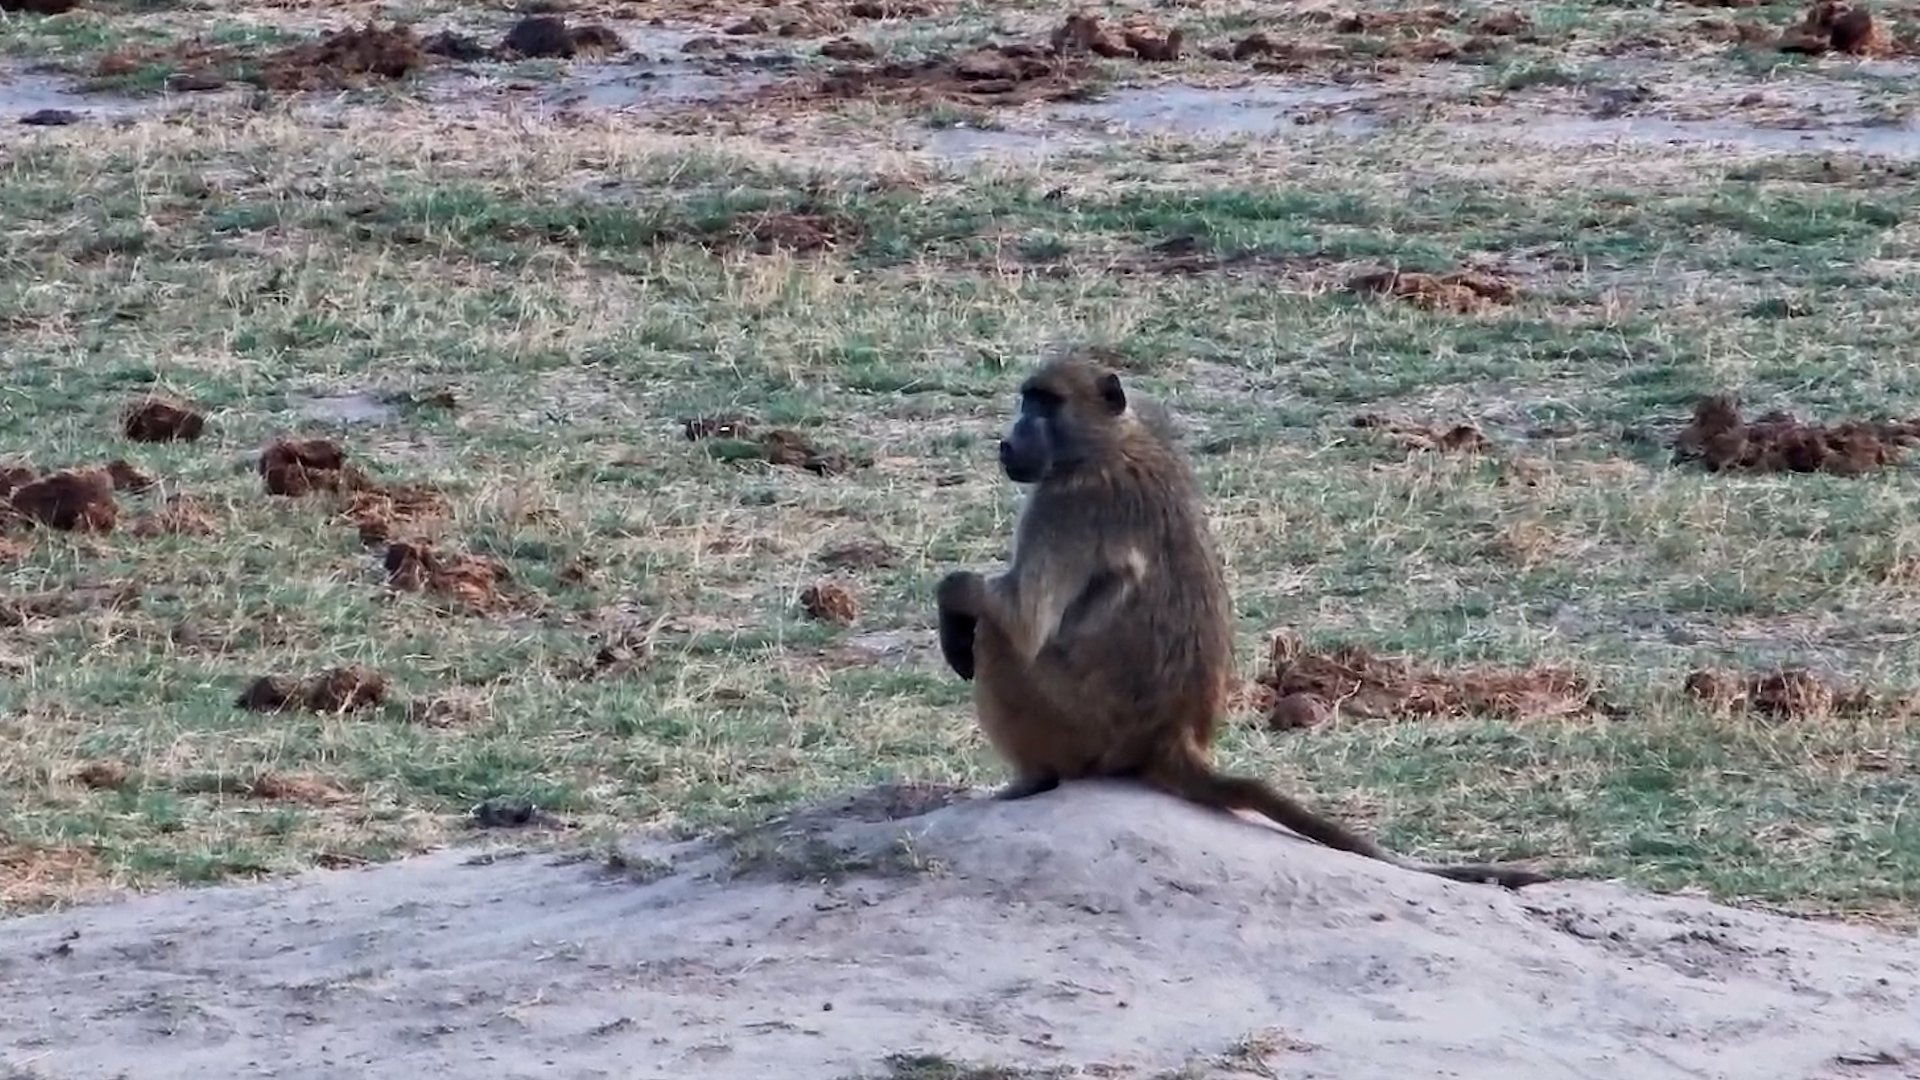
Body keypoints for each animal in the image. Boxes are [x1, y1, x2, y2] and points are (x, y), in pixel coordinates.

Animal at [934, 357, 1550, 890]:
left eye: (1045, 403)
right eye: (1028, 399)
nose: (1009, 442)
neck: (1109, 442)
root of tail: (1170, 737)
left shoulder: (1062, 503)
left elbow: (1021, 620)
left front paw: (953, 601)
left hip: (1076, 724)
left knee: (997, 642)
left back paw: (1027, 780)